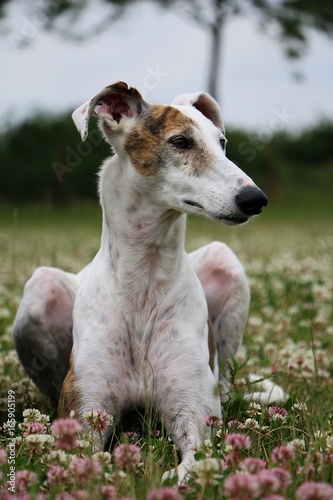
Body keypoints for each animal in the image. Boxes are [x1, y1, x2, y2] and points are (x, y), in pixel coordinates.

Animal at [13, 81, 268, 480]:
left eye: (222, 142)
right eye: (180, 141)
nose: (255, 198)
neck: (144, 281)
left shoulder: (194, 418)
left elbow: (192, 463)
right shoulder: (84, 415)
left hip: (225, 264)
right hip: (40, 289)